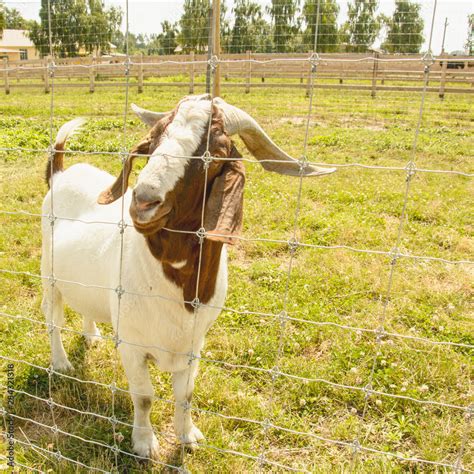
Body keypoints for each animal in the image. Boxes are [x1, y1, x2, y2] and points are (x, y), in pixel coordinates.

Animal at [41, 93, 336, 460]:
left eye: (216, 153)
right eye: (154, 141)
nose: (143, 201)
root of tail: (61, 174)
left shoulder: (194, 344)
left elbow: (186, 394)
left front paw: (188, 436)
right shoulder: (132, 345)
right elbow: (144, 396)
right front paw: (144, 444)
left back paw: (92, 335)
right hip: (48, 276)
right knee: (52, 319)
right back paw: (61, 363)